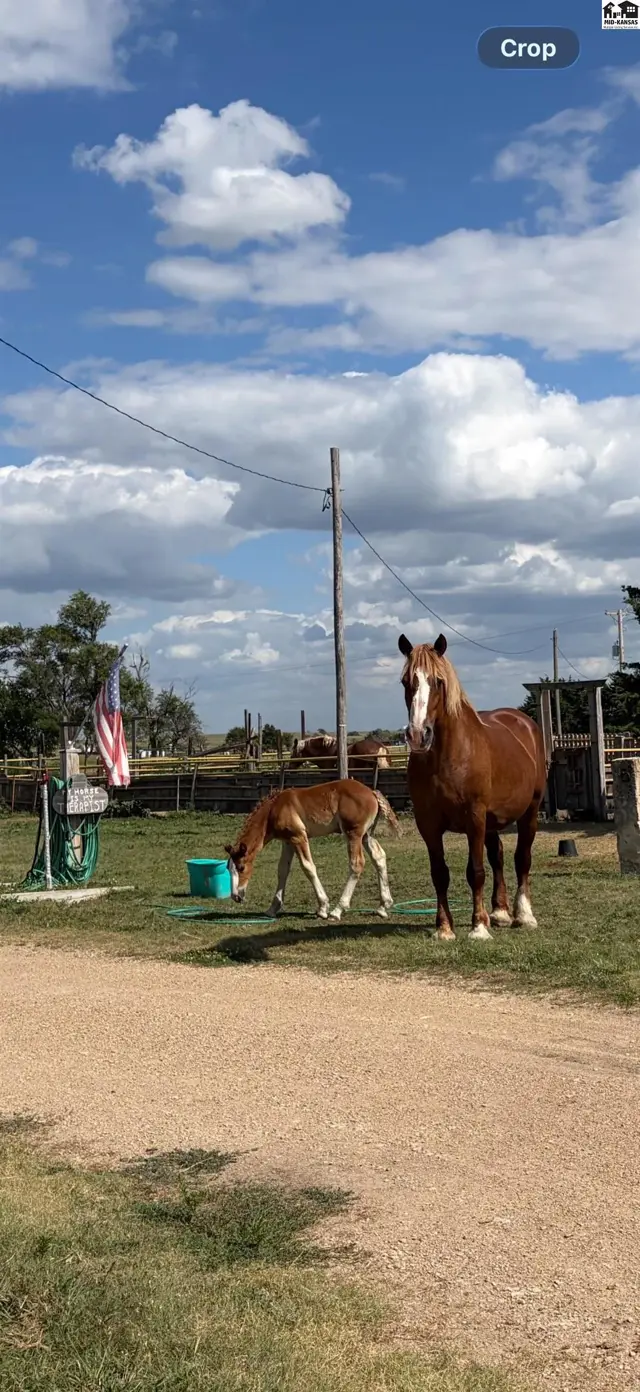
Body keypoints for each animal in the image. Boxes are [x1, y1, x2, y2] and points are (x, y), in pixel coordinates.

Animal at [225, 780, 400, 922]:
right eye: (228, 868)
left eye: (241, 867)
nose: (236, 896)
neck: (273, 809)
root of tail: (371, 792)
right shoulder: (287, 842)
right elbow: (282, 870)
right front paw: (272, 909)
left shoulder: (298, 837)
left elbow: (308, 867)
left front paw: (322, 908)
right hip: (366, 835)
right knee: (379, 857)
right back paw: (383, 907)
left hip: (353, 834)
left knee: (356, 864)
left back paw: (337, 911)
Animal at [398, 632, 547, 941]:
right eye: (406, 681)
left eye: (438, 681)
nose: (418, 735)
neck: (447, 757)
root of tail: (524, 722)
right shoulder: (427, 823)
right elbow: (439, 873)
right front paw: (444, 928)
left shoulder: (474, 817)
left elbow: (475, 871)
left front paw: (478, 927)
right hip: (491, 821)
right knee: (498, 856)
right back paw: (500, 912)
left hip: (529, 812)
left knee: (522, 859)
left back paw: (524, 915)